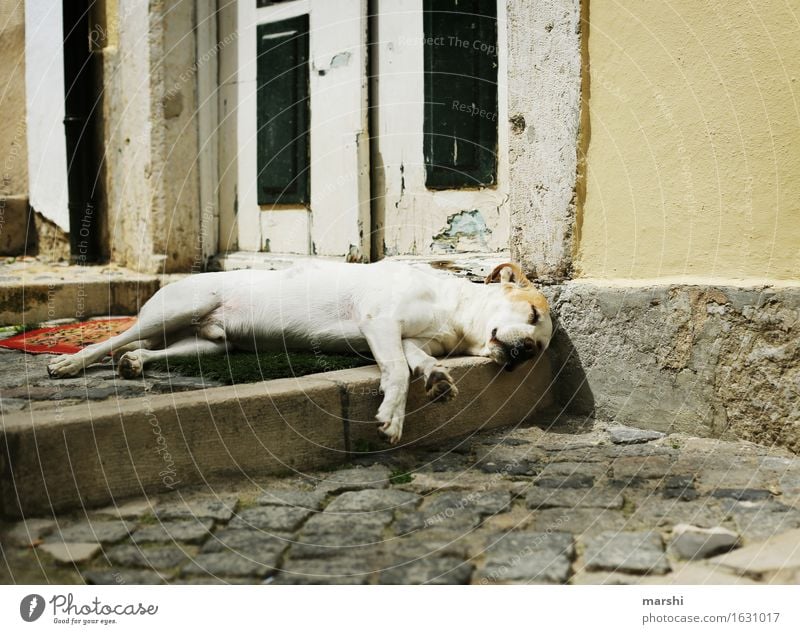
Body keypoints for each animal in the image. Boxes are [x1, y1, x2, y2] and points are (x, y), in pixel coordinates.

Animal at [48, 260, 552, 442]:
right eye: (531, 314)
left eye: (542, 347)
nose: (526, 352)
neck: (454, 313)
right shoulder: (379, 323)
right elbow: (395, 371)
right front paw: (392, 416)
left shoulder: (407, 338)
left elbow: (418, 362)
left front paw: (438, 379)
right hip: (178, 308)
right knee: (115, 338)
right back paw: (70, 361)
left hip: (210, 344)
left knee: (154, 351)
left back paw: (136, 363)